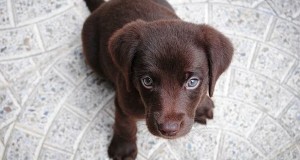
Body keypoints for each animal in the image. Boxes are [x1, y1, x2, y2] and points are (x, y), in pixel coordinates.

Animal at [82, 0, 234, 159]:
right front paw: (123, 148)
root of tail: (104, 5)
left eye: (192, 82)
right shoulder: (124, 101)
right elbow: (125, 124)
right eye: (147, 81)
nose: (168, 129)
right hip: (92, 55)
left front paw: (202, 105)